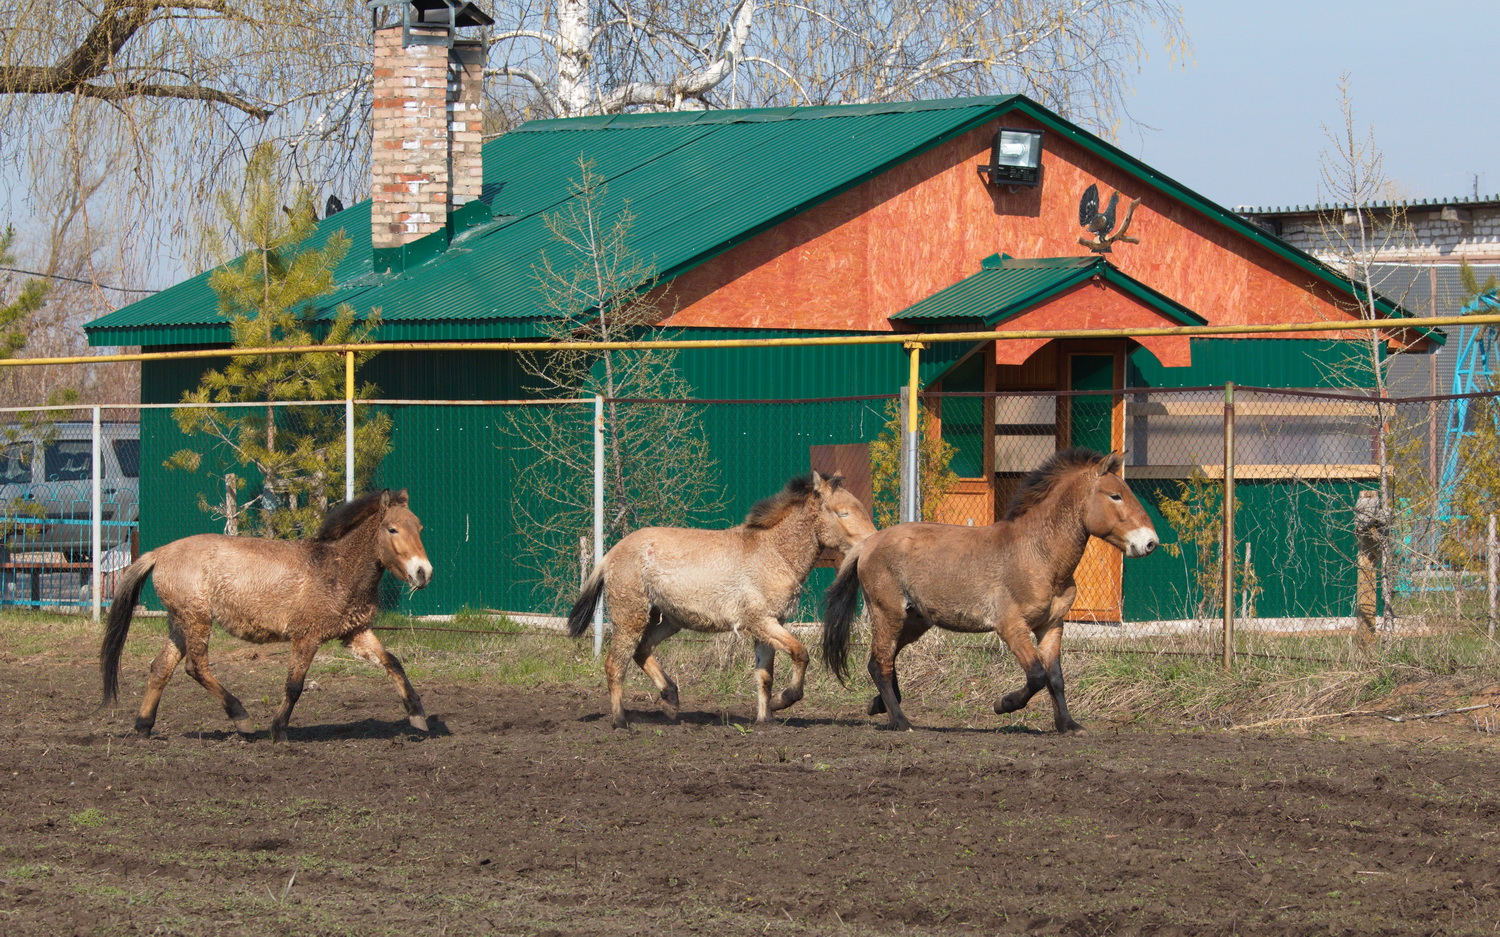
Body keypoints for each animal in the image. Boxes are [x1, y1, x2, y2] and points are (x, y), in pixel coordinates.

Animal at [100, 488, 435, 737]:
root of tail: (159, 553)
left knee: (161, 667)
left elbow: (392, 662)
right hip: (196, 621)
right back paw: (242, 718)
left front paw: (418, 715)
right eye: (392, 529)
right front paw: (278, 729)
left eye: (419, 527)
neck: (335, 568)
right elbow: (295, 685)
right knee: (196, 668)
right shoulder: (306, 636)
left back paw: (144, 727)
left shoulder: (356, 632)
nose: (424, 572)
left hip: (180, 622)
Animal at [564, 470, 876, 728]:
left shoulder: (769, 625)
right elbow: (800, 653)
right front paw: (783, 700)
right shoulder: (760, 621)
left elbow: (764, 675)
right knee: (615, 664)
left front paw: (765, 719)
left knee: (641, 650)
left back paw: (671, 699)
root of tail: (610, 555)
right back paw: (620, 721)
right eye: (843, 513)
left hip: (668, 619)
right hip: (630, 616)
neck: (773, 552)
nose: (871, 542)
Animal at [822, 446, 1158, 731]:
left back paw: (879, 706)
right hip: (888, 613)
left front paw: (1068, 725)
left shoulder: (1051, 626)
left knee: (883, 660)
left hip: (915, 621)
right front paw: (1003, 704)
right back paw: (900, 721)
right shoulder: (1011, 626)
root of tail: (867, 544)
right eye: (1115, 496)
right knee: (880, 664)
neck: (1037, 554)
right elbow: (1037, 675)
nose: (1150, 542)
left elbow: (1055, 678)